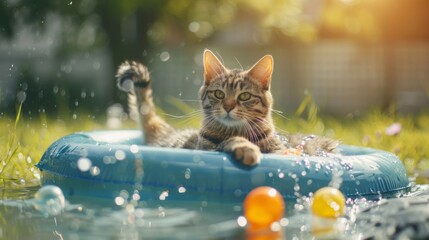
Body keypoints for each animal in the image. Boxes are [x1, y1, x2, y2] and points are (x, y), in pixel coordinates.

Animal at [115, 48, 336, 165]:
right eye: (219, 94)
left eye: (244, 96)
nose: (228, 106)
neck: (239, 130)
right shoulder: (206, 148)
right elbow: (228, 142)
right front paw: (244, 147)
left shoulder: (281, 152)